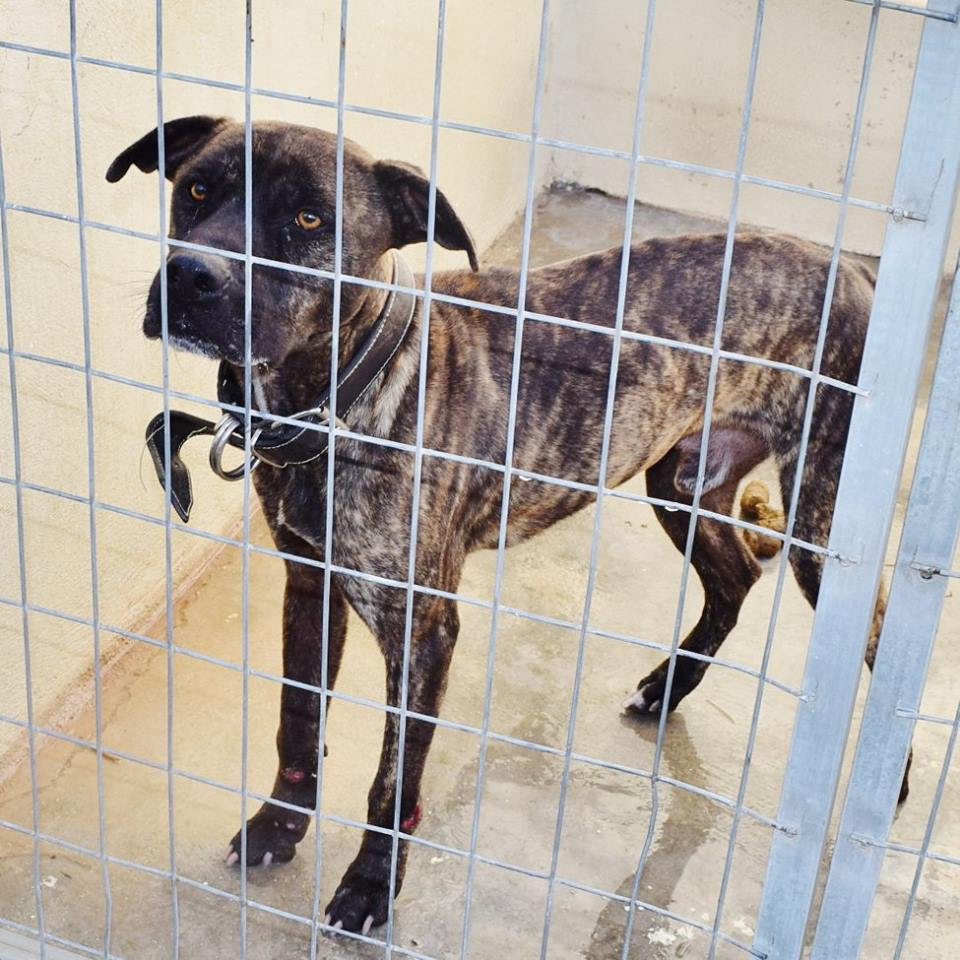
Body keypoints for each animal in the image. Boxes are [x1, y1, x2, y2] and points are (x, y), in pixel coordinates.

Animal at [107, 115, 893, 935]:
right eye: (198, 189)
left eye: (310, 219)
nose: (191, 276)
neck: (338, 394)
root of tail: (852, 270)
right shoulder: (309, 585)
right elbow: (297, 718)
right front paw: (277, 827)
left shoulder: (423, 630)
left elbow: (394, 778)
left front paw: (370, 885)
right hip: (680, 481)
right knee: (735, 575)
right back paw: (667, 687)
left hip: (821, 523)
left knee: (874, 629)